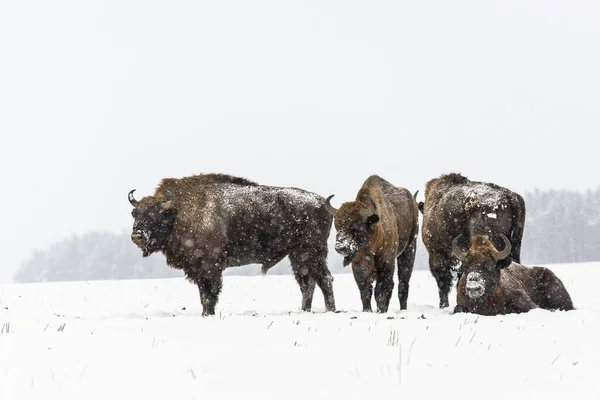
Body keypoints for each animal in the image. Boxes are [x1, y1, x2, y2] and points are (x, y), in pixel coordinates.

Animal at [127, 173, 336, 318]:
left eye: (157, 215)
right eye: (135, 214)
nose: (137, 235)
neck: (179, 212)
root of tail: (321, 203)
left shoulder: (209, 267)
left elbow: (209, 294)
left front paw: (208, 314)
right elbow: (204, 294)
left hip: (311, 253)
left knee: (323, 279)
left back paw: (330, 310)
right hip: (298, 256)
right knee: (308, 283)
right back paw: (305, 310)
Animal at [326, 175, 420, 312]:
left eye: (355, 225)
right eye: (337, 225)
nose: (340, 247)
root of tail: (412, 201)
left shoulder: (386, 261)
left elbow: (382, 290)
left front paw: (381, 311)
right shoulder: (358, 263)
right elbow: (365, 289)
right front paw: (367, 310)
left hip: (410, 247)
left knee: (403, 283)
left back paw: (403, 309)